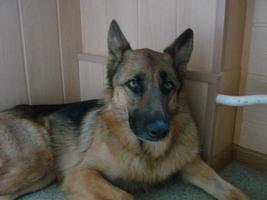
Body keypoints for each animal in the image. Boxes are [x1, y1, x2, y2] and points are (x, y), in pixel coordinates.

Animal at [1, 20, 250, 200]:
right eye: (133, 83)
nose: (160, 131)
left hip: (42, 175)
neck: (147, 153)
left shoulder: (194, 166)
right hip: (38, 163)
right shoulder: (81, 174)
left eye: (168, 85)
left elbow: (233, 191)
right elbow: (124, 196)